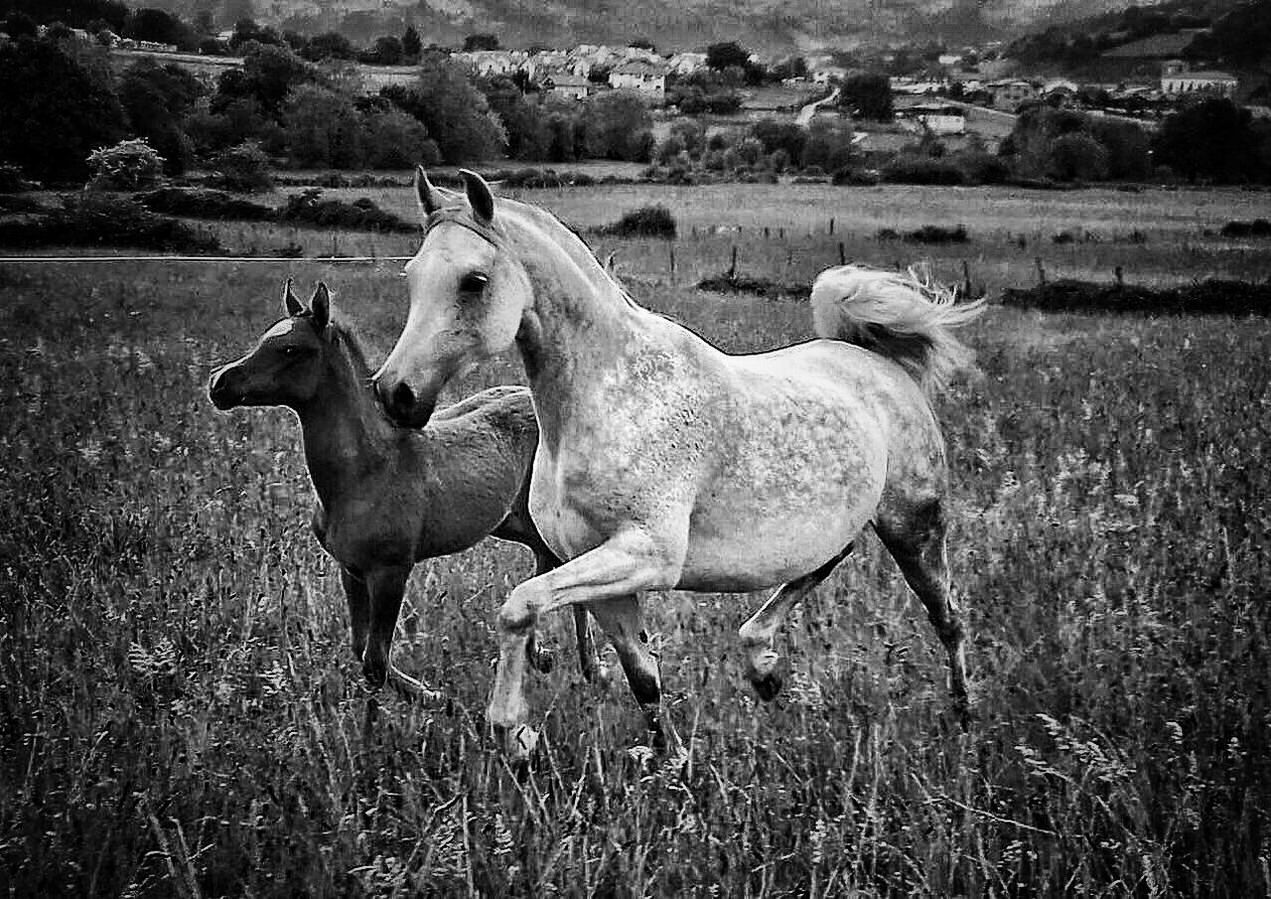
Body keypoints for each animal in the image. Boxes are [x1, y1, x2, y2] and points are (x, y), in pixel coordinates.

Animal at [373, 166, 981, 752]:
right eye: (412, 276)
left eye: (474, 281)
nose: (394, 394)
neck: (611, 397)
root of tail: (881, 364)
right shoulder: (595, 564)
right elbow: (643, 677)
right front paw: (669, 762)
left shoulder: (646, 554)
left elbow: (520, 605)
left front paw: (510, 730)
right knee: (828, 560)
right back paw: (762, 667)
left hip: (915, 526)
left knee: (947, 619)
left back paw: (963, 717)